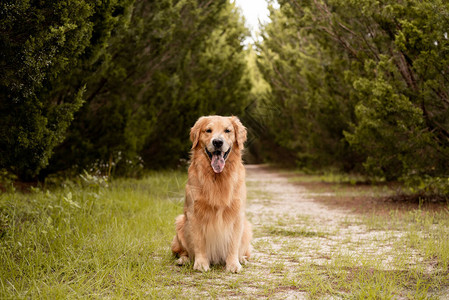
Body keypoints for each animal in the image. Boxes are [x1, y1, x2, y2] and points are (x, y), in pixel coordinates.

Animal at [171, 115, 250, 272]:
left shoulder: (237, 214)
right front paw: (201, 263)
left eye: (227, 130)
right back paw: (184, 259)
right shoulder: (193, 213)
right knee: (182, 251)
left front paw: (233, 264)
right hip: (180, 222)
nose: (217, 142)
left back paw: (242, 259)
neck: (217, 177)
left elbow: (233, 243)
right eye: (208, 130)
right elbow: (199, 242)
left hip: (247, 228)